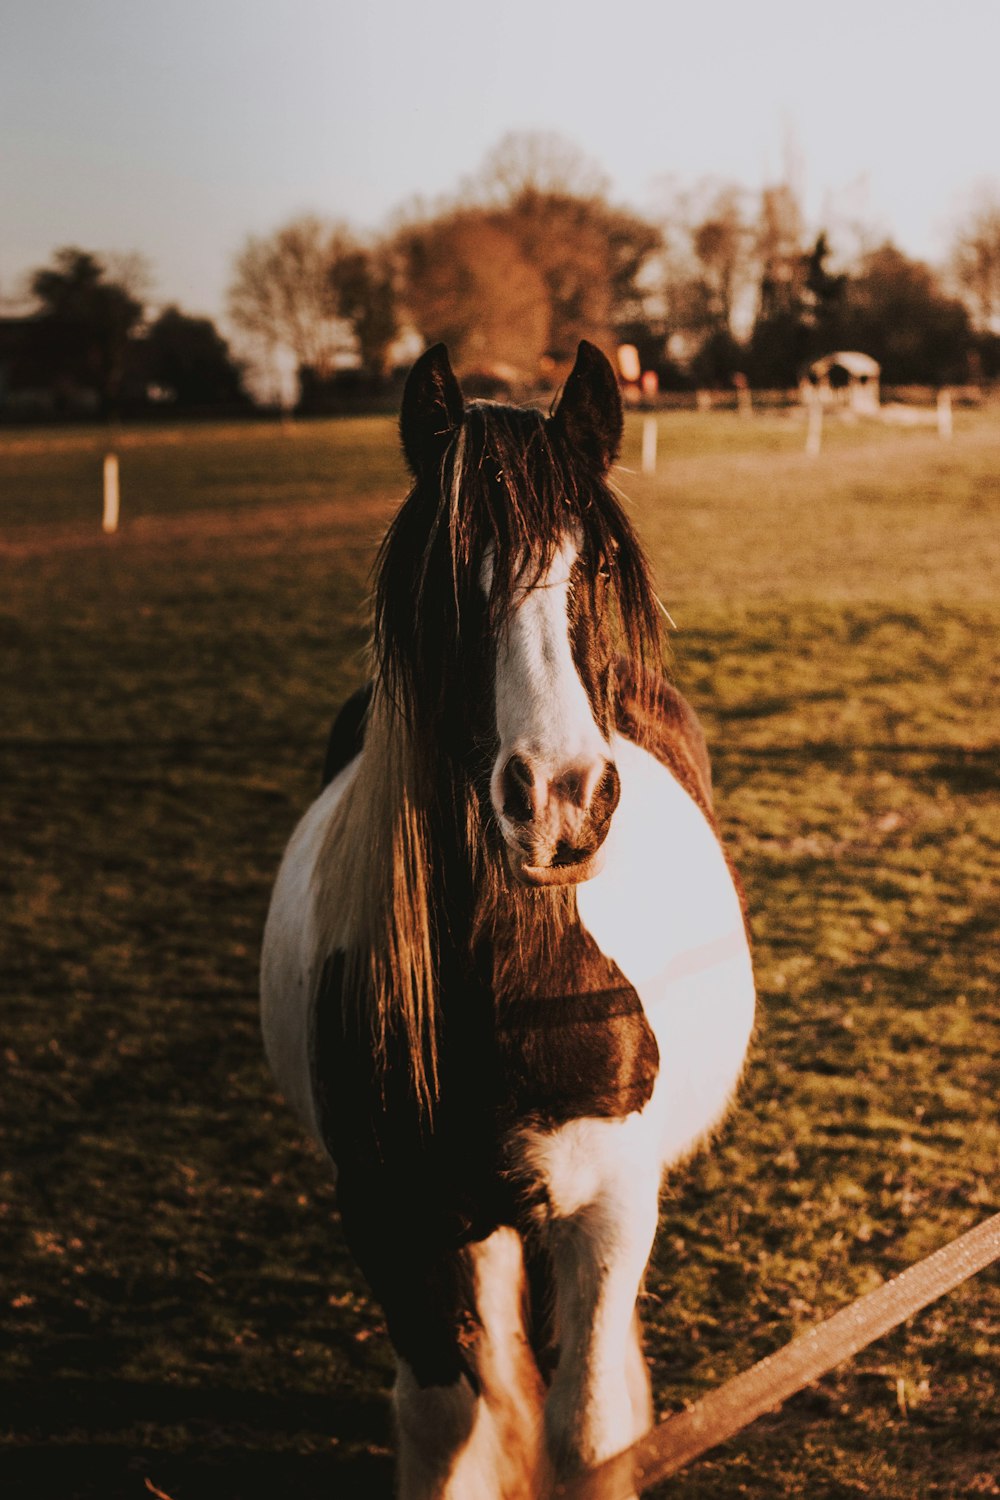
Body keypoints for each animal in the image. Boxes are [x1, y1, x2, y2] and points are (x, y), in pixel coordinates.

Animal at [262, 343, 755, 1500]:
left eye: (602, 568)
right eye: (446, 584)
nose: (562, 799)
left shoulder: (609, 1205)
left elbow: (587, 1430)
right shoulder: (387, 1216)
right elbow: (446, 1414)